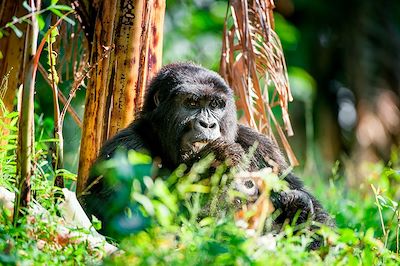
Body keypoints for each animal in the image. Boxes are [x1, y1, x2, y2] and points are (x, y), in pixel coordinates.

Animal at [79, 61, 334, 243]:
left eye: (215, 105)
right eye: (191, 103)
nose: (208, 124)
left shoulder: (260, 144)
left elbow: (321, 221)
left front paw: (299, 207)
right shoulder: (123, 149)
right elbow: (122, 219)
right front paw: (212, 161)